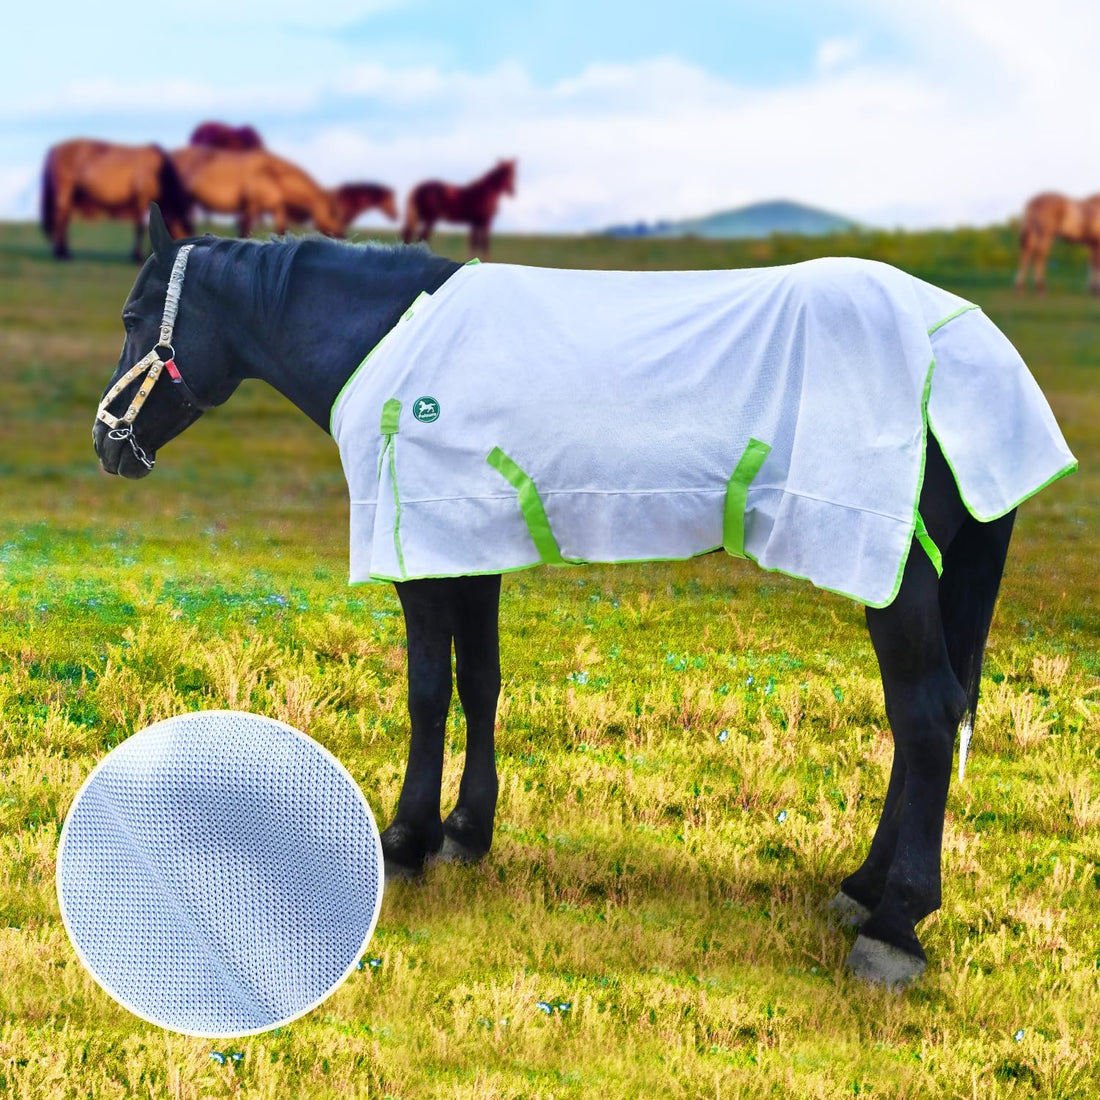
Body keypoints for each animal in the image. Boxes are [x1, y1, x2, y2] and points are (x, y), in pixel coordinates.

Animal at [40, 140, 193, 261]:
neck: (159, 170)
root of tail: (55, 149)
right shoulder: (141, 200)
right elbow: (140, 228)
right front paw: (136, 256)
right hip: (64, 192)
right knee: (60, 220)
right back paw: (61, 254)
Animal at [93, 205, 1074, 989]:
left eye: (136, 318)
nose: (107, 445)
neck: (392, 342)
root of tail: (964, 344)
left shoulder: (422, 553)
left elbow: (426, 689)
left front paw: (405, 843)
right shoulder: (467, 545)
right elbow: (479, 681)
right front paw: (466, 832)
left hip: (892, 567)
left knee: (924, 713)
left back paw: (894, 927)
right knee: (929, 718)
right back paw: (862, 891)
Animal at [171, 146, 344, 239]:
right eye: (333, 212)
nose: (342, 236)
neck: (272, 174)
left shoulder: (277, 209)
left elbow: (281, 231)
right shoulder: (251, 207)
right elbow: (244, 231)